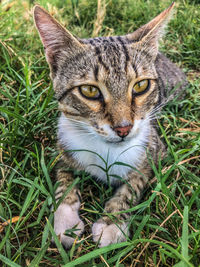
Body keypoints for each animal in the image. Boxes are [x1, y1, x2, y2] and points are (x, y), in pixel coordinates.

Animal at [33, 2, 188, 249]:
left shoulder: (154, 152)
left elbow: (132, 185)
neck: (106, 149)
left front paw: (111, 222)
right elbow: (63, 181)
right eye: (89, 90)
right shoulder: (63, 146)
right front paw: (65, 220)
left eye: (141, 86)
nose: (124, 127)